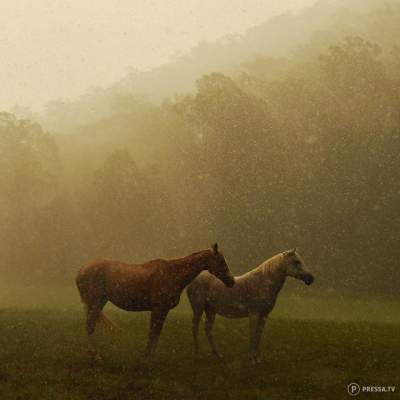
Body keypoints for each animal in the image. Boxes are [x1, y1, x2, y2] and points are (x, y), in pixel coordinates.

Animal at [76, 244, 233, 360]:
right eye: (221, 261)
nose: (231, 281)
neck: (172, 273)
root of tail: (82, 270)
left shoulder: (162, 311)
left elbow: (156, 333)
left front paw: (149, 355)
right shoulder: (159, 309)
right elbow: (153, 332)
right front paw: (148, 357)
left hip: (99, 303)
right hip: (95, 303)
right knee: (90, 326)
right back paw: (96, 356)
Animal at [188, 247, 316, 362]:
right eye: (296, 262)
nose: (310, 278)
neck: (263, 283)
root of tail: (194, 279)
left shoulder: (264, 315)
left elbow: (259, 335)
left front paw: (257, 359)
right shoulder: (254, 314)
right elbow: (253, 335)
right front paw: (252, 359)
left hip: (211, 311)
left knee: (208, 329)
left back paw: (218, 354)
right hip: (198, 309)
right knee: (195, 327)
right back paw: (197, 354)